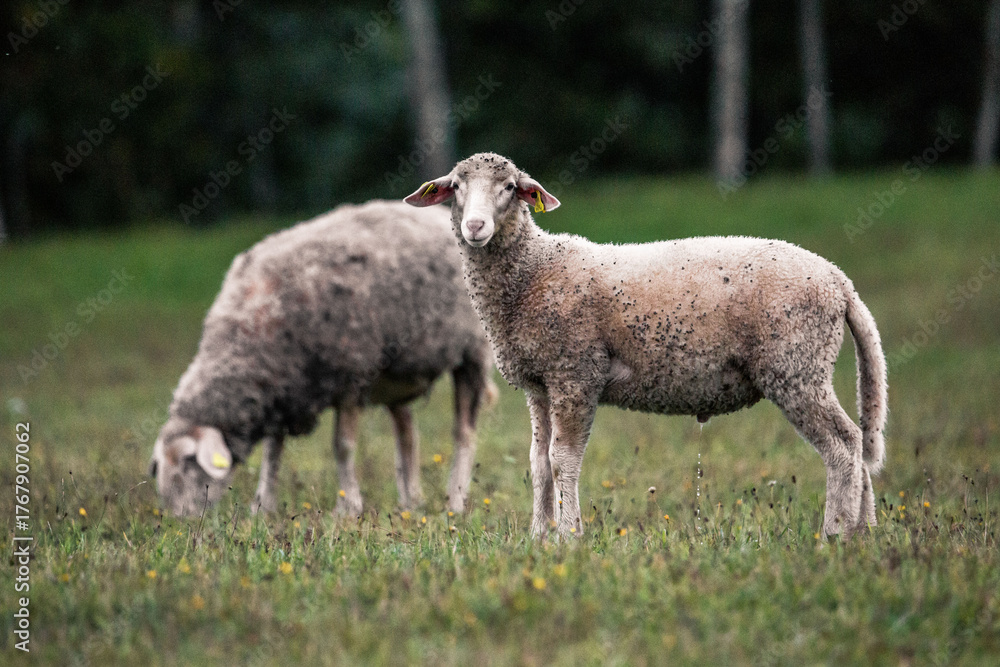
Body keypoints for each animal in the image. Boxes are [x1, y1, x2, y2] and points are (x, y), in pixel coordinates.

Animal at [148, 200, 495, 517]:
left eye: (188, 464)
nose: (181, 521)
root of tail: (439, 214)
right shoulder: (283, 388)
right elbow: (272, 452)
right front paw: (263, 506)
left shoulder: (352, 375)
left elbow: (342, 446)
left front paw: (348, 507)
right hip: (398, 374)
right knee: (407, 435)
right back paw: (410, 502)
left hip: (472, 352)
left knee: (464, 432)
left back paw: (455, 501)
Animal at [405, 152, 887, 540]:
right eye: (456, 187)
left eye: (509, 188)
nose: (475, 226)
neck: (533, 271)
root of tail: (838, 281)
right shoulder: (540, 384)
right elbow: (538, 463)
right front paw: (538, 537)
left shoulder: (575, 373)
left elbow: (563, 460)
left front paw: (568, 536)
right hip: (803, 365)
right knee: (859, 445)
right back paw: (864, 533)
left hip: (796, 365)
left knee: (844, 446)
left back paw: (835, 534)